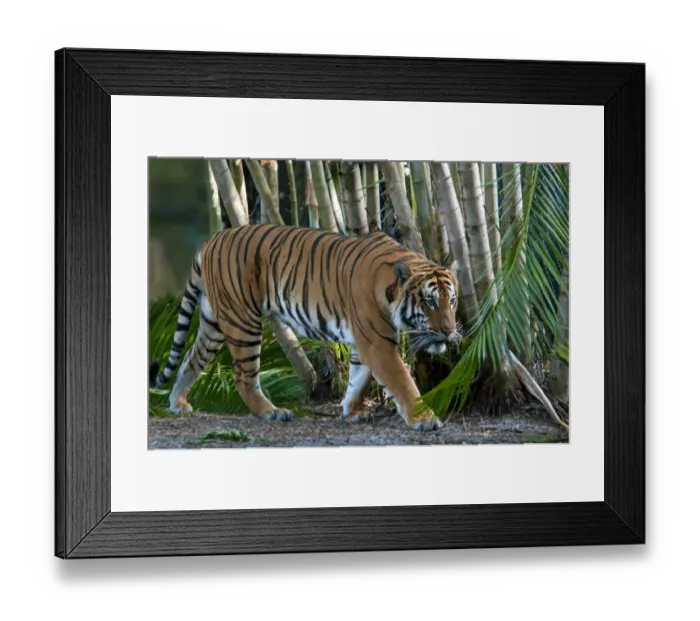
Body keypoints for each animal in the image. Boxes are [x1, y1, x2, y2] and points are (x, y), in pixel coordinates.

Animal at [149, 224, 461, 431]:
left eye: (452, 301)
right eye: (430, 302)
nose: (449, 331)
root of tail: (212, 239)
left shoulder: (364, 341)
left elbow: (358, 379)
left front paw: (351, 411)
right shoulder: (378, 343)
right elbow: (403, 383)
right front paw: (425, 419)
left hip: (214, 321)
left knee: (191, 360)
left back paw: (177, 403)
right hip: (242, 321)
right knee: (243, 377)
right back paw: (272, 412)